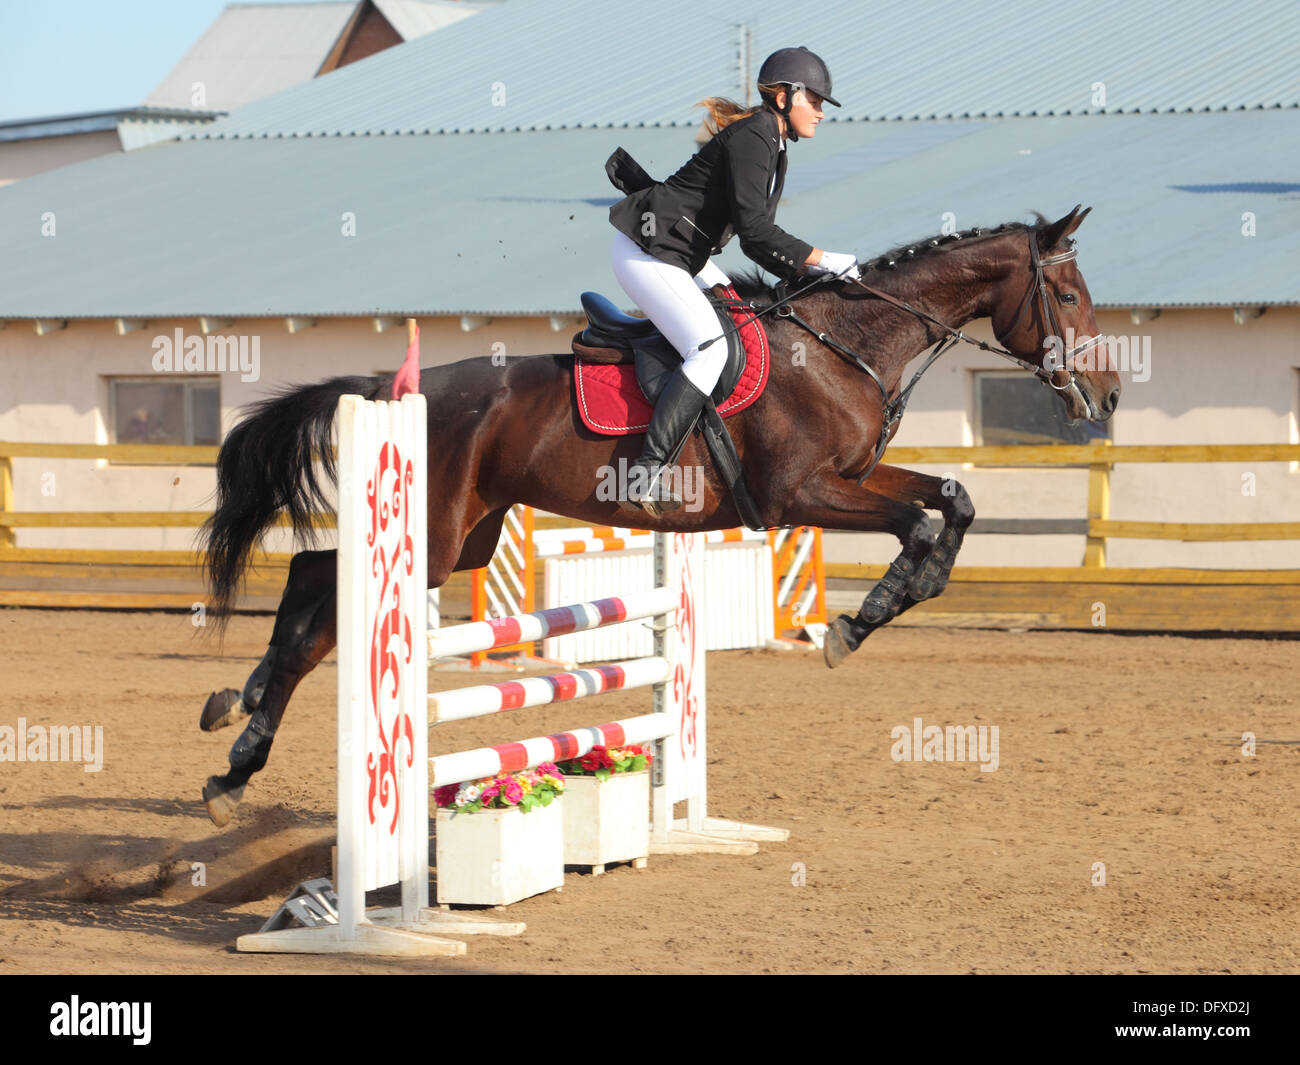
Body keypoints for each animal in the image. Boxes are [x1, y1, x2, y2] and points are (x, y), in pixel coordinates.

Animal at [196, 205, 1119, 826]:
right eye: (1068, 293)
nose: (1108, 394)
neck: (842, 346)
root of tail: (395, 387)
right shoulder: (801, 493)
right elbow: (921, 525)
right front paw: (858, 624)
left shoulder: (854, 475)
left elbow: (952, 502)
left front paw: (876, 613)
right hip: (434, 537)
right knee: (327, 608)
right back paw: (235, 768)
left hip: (466, 539)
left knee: (310, 570)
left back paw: (237, 701)